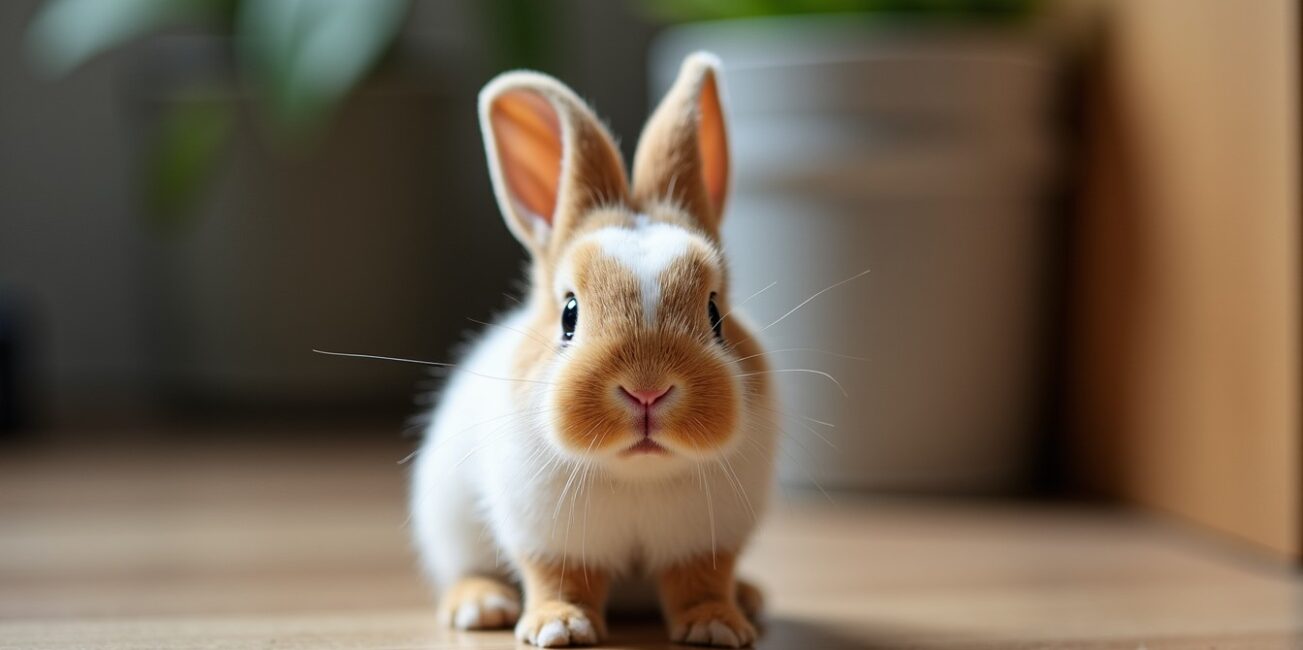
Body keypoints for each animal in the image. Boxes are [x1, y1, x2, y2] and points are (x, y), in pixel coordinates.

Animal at [410, 51, 777, 648]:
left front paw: (717, 625)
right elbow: (560, 578)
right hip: (449, 522)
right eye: (569, 314)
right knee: (465, 569)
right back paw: (482, 606)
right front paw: (559, 627)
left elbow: (700, 580)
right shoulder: (546, 537)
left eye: (715, 315)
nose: (648, 390)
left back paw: (750, 598)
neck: (636, 473)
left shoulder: (707, 541)